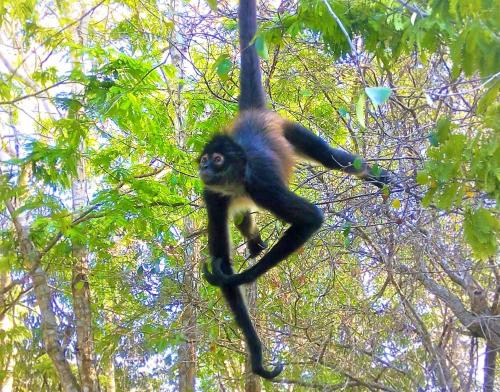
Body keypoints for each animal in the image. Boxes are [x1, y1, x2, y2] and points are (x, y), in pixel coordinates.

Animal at [198, 0, 390, 380]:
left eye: (216, 159)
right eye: (205, 159)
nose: (204, 168)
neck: (237, 180)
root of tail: (254, 116)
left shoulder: (261, 186)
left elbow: (312, 218)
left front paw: (239, 277)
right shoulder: (213, 195)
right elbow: (221, 257)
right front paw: (257, 356)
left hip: (289, 129)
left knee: (334, 159)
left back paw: (383, 179)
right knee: (243, 217)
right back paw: (252, 237)